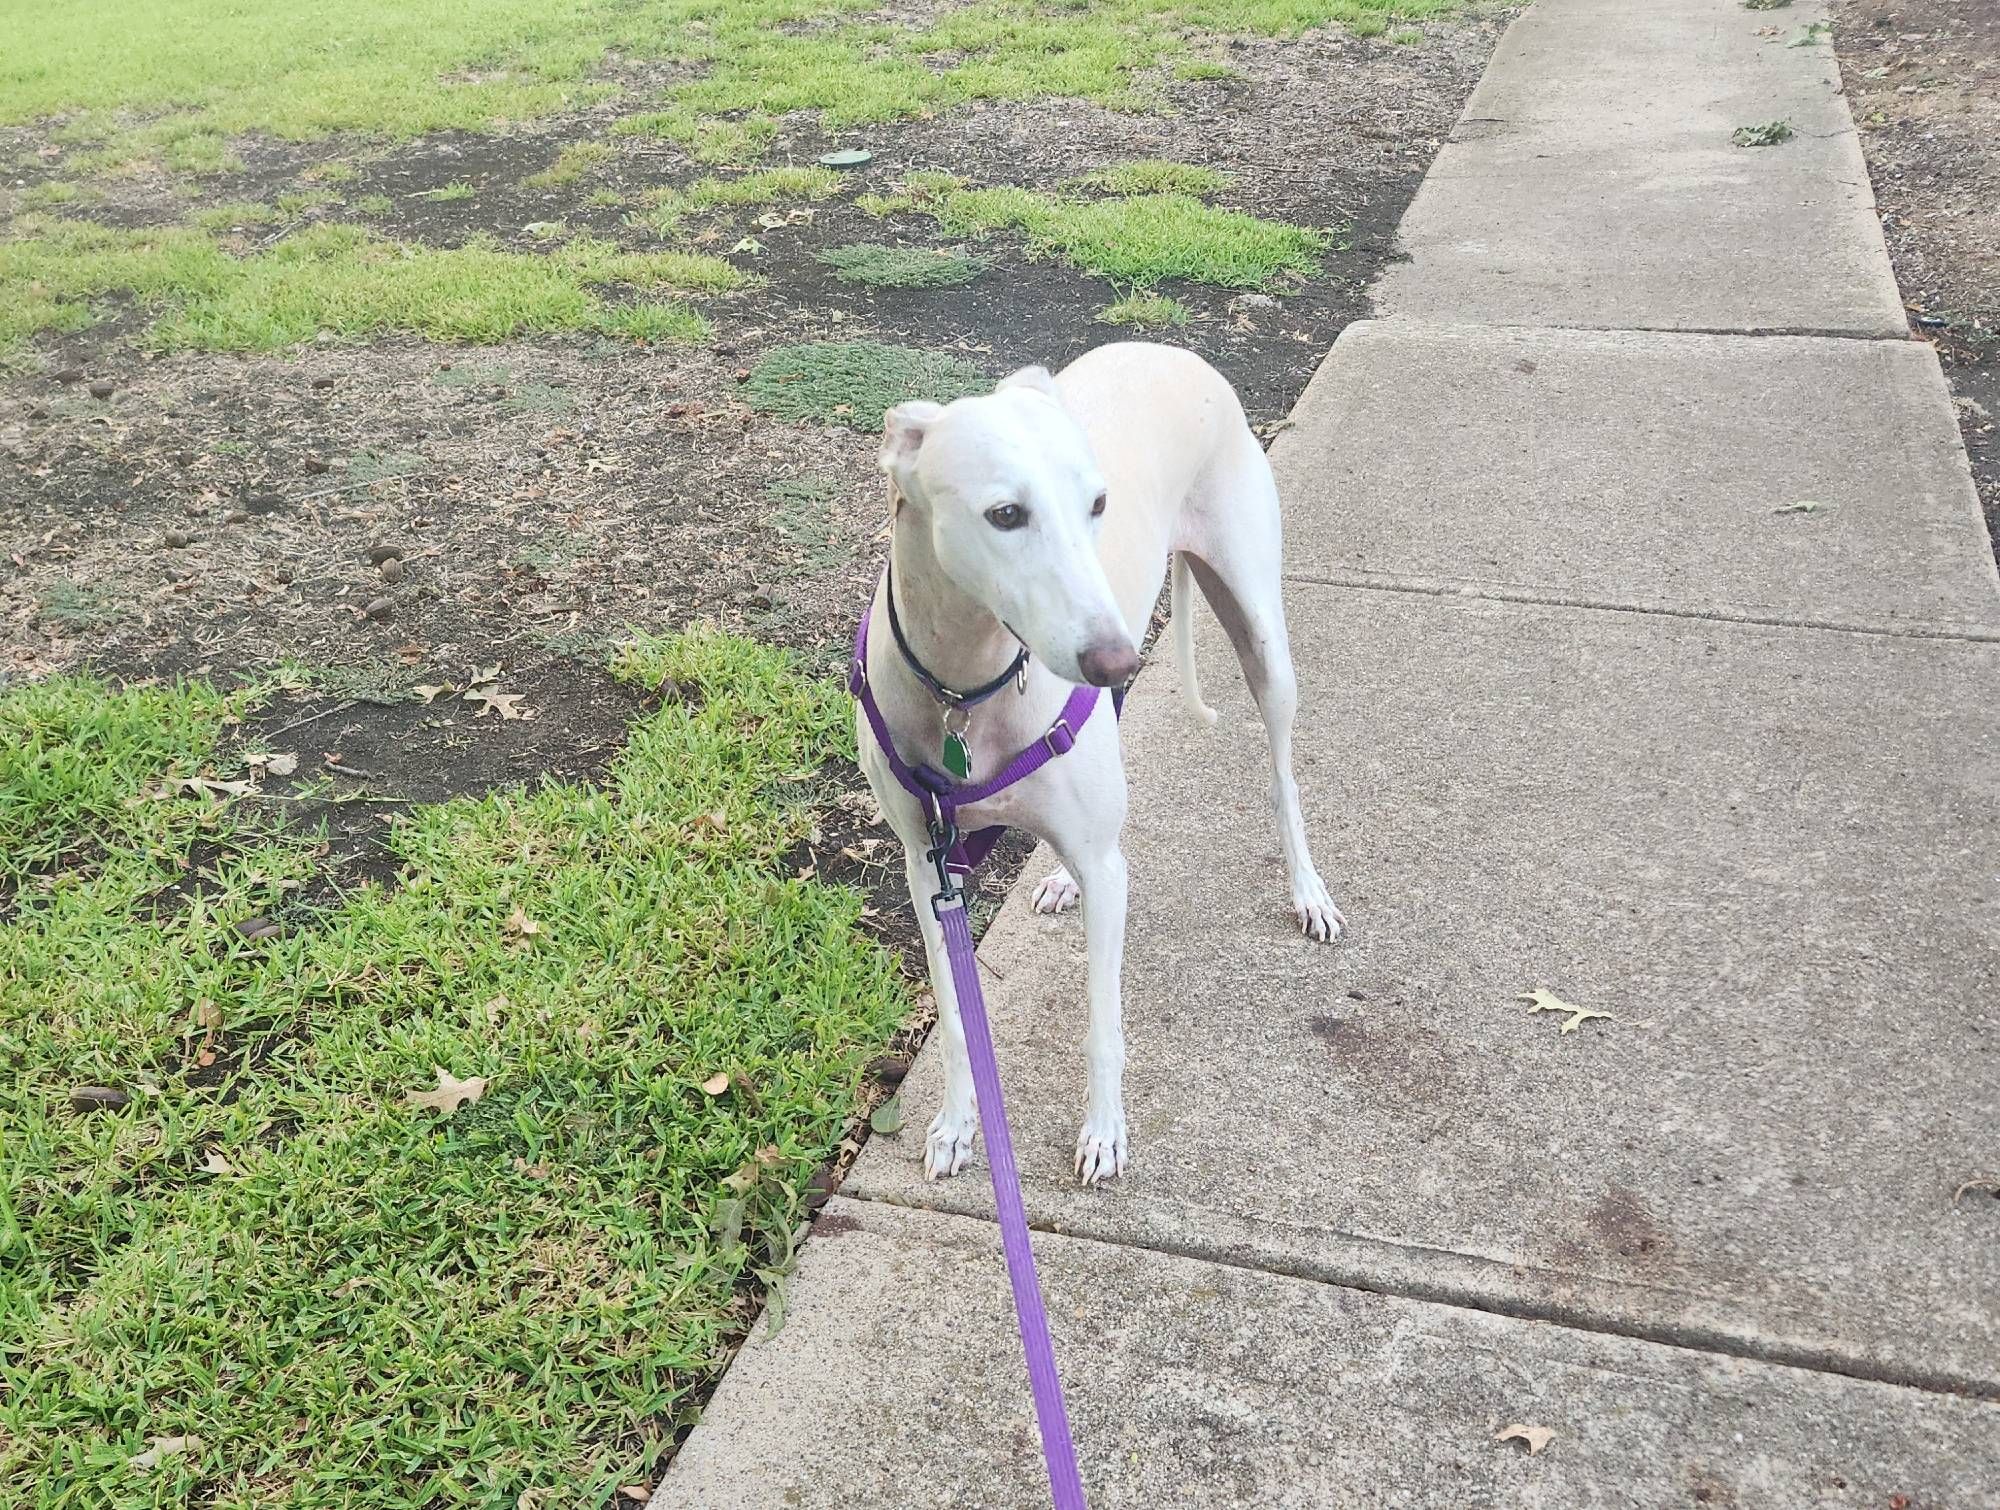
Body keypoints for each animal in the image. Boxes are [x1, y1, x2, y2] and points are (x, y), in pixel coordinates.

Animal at [852, 346, 1336, 1192]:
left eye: (1097, 504)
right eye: (1005, 514)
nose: (1113, 662)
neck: (965, 690)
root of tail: (1172, 350)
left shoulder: (1106, 872)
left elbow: (1103, 1022)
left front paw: (1105, 1133)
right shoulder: (925, 864)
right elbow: (955, 1014)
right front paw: (956, 1123)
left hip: (1260, 639)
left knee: (1282, 772)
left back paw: (1308, 891)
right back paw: (1059, 876)